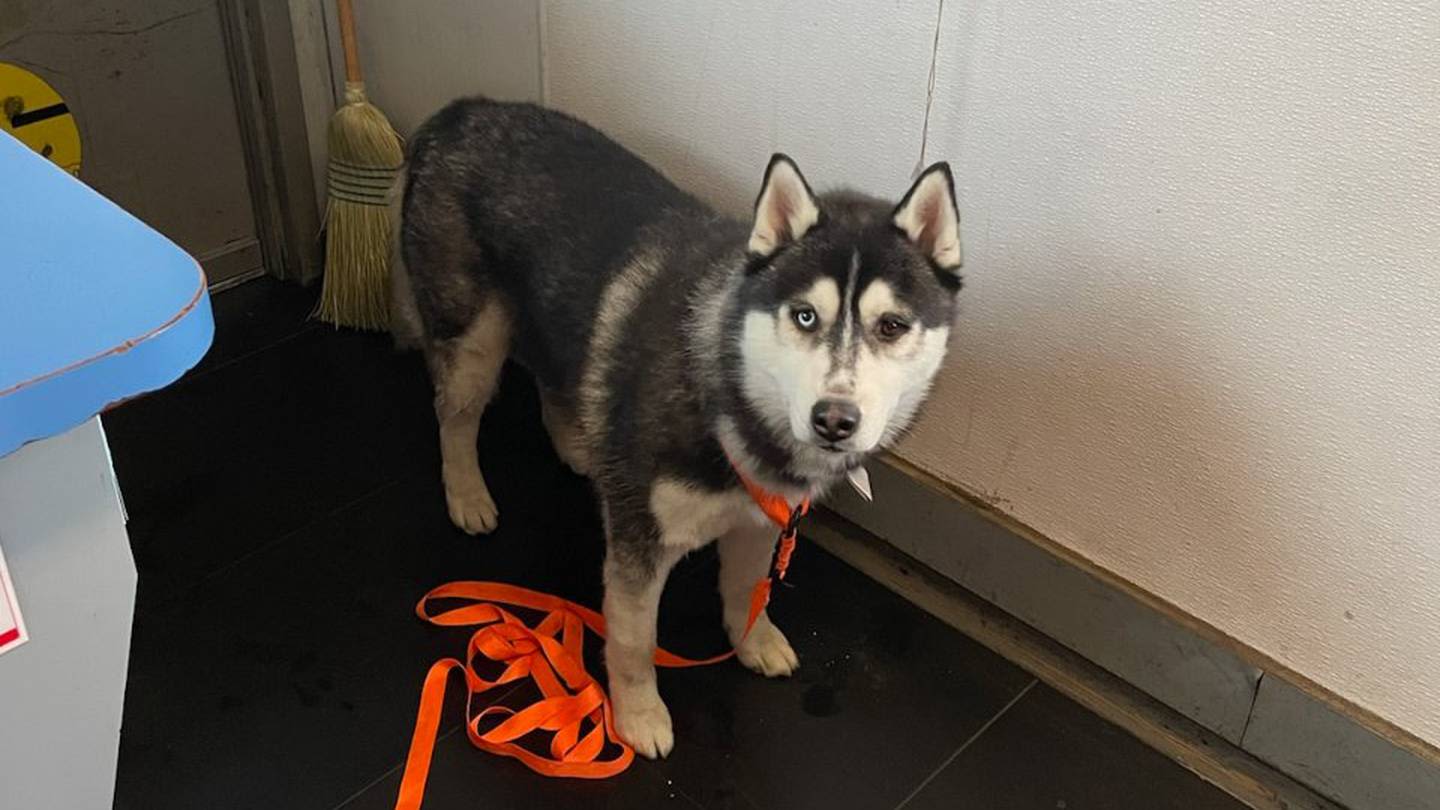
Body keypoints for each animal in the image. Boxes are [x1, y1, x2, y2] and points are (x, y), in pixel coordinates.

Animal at [391, 98, 967, 755]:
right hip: (475, 336)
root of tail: (464, 110)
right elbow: (634, 638)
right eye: (804, 316)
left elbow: (747, 588)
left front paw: (753, 641)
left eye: (892, 326)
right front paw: (638, 715)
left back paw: (580, 442)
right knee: (455, 412)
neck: (733, 399)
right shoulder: (640, 546)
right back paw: (467, 493)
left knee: (556, 373)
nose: (835, 419)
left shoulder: (760, 520)